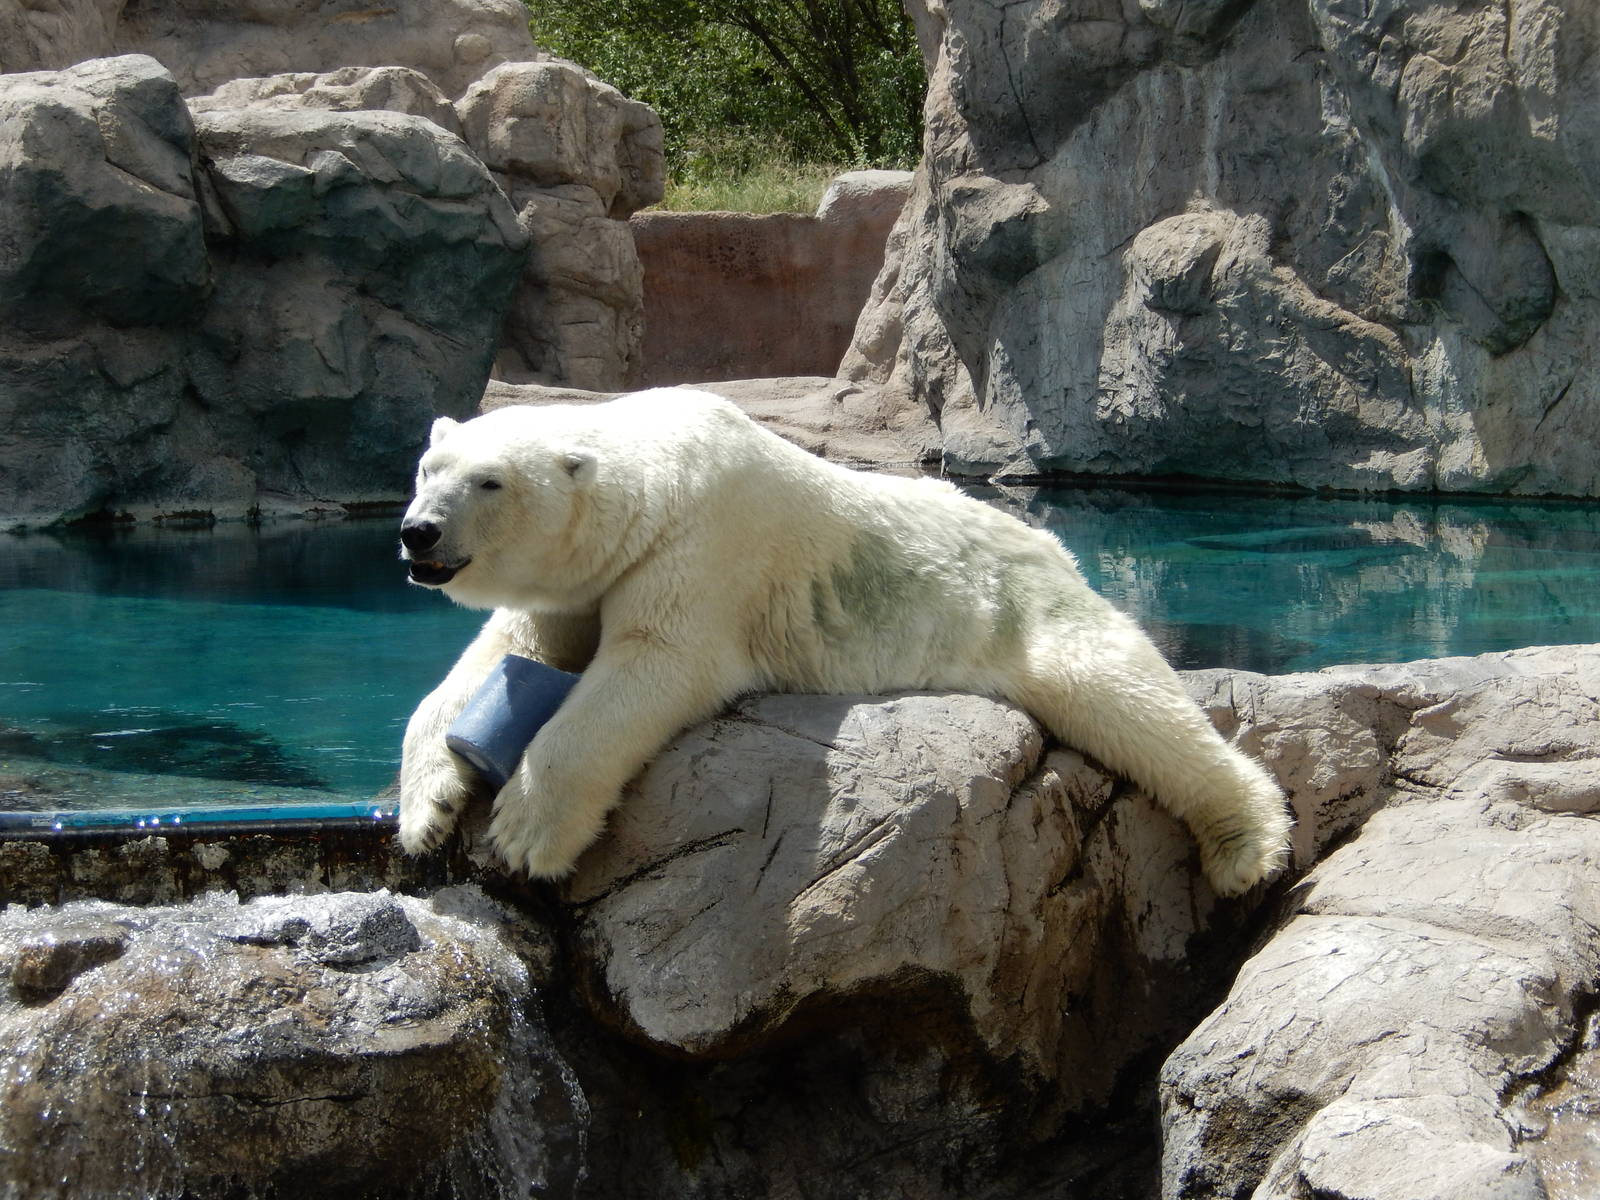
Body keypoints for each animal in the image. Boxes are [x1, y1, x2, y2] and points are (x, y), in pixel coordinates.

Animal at [397, 387, 1290, 895]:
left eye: (490, 481)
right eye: (426, 468)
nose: (417, 533)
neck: (658, 471)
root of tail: (1053, 544)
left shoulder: (705, 548)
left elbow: (652, 665)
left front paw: (524, 833)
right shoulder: (580, 582)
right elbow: (497, 656)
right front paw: (425, 810)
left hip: (1025, 609)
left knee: (1123, 695)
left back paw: (1247, 844)